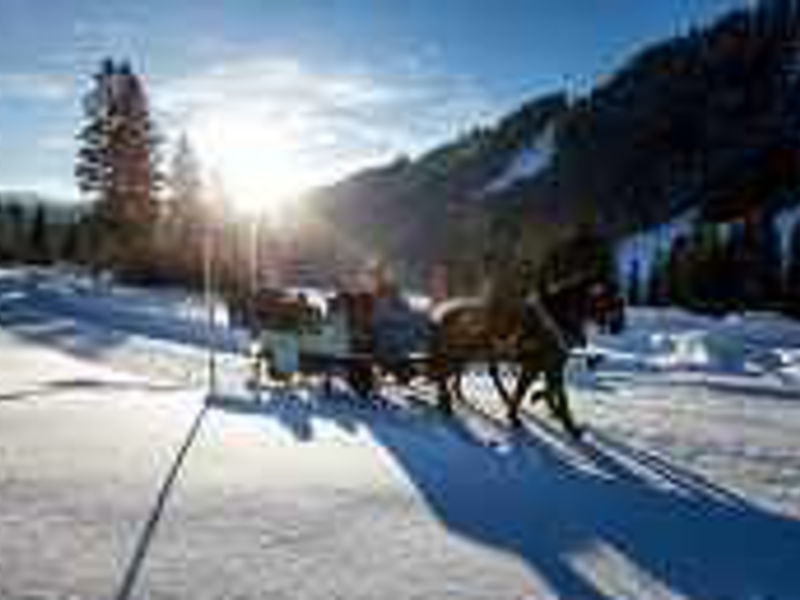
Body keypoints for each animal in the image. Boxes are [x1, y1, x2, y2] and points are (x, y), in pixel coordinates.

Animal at [432, 232, 624, 438]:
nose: (619, 326)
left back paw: (457, 395)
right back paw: (446, 401)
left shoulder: (549, 364)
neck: (555, 315)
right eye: (610, 299)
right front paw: (563, 423)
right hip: (460, 352)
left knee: (459, 372)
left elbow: (549, 390)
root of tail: (444, 313)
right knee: (444, 372)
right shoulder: (538, 364)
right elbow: (543, 392)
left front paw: (545, 408)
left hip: (468, 353)